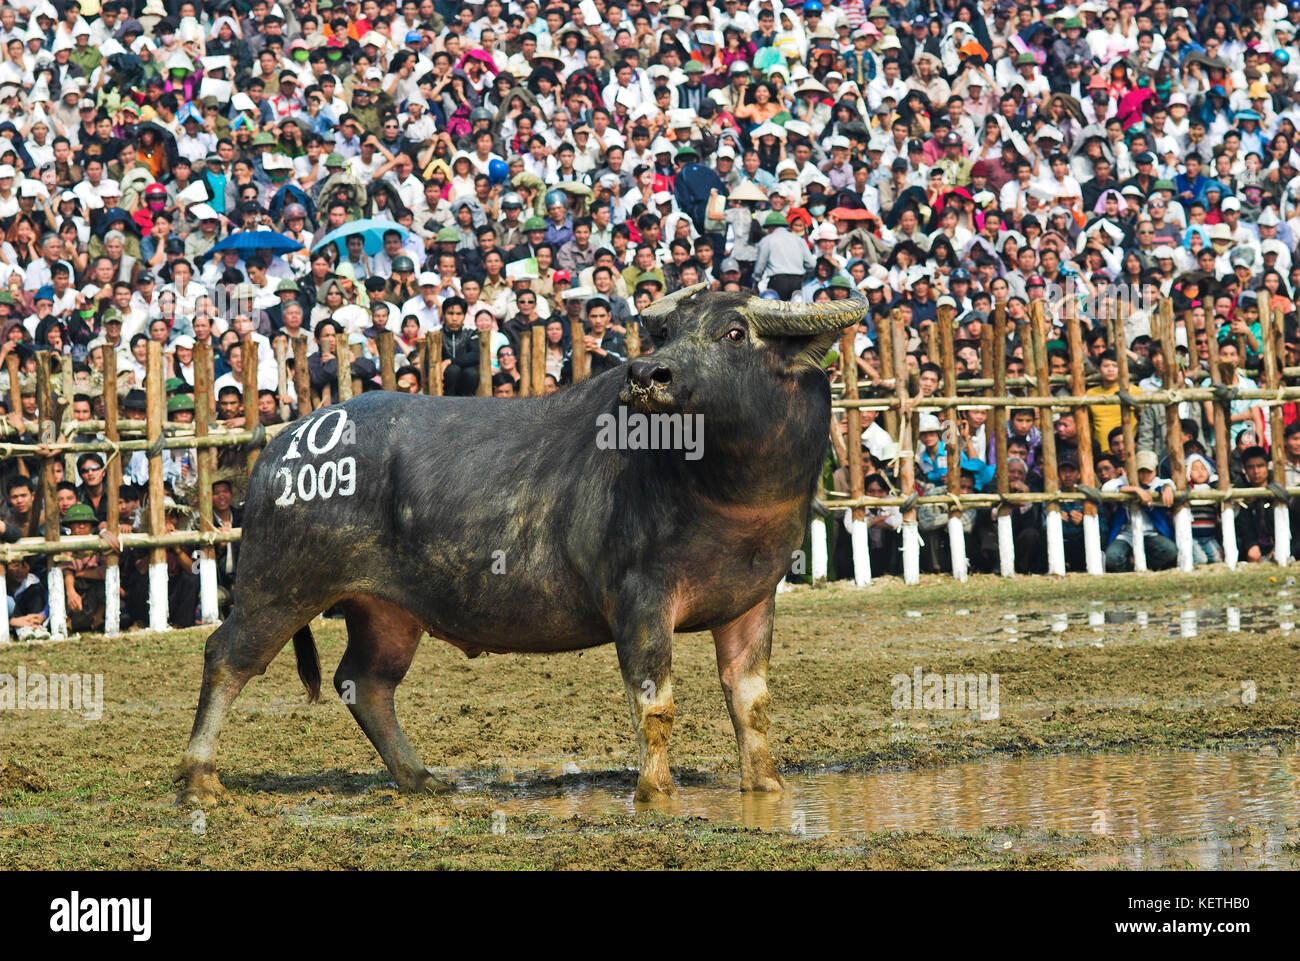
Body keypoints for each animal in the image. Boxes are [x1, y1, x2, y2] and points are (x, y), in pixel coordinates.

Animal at [177, 286, 868, 805]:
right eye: (669, 333)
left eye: (734, 333)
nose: (649, 374)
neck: (725, 490)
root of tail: (284, 442)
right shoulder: (641, 601)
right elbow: (656, 704)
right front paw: (656, 792)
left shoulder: (753, 603)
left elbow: (752, 703)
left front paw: (767, 786)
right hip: (280, 584)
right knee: (227, 657)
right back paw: (200, 781)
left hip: (387, 611)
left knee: (365, 683)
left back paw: (421, 779)